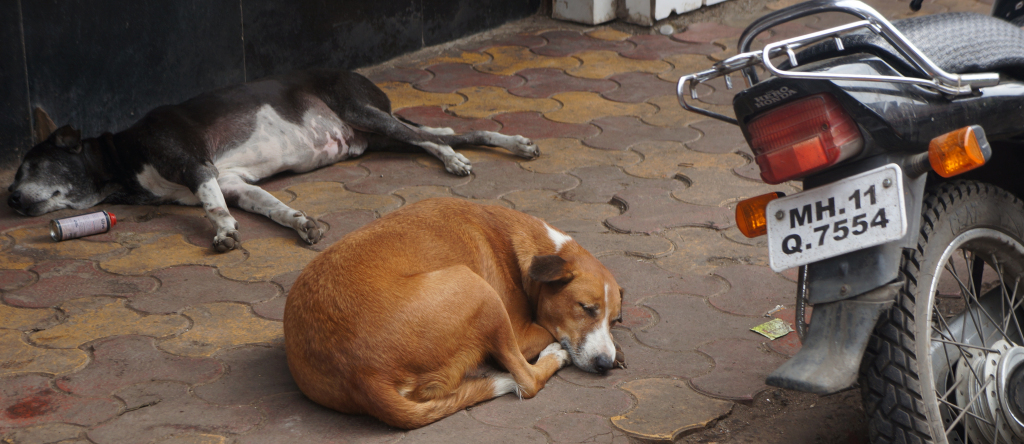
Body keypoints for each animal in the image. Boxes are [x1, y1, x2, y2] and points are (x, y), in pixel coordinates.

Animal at [6, 69, 538, 251]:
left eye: (28, 167)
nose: (10, 199)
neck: (120, 160)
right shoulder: (232, 181)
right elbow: (272, 208)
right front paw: (303, 224)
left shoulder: (198, 169)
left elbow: (212, 209)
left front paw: (223, 233)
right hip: (378, 136)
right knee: (450, 132)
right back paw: (512, 144)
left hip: (364, 112)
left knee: (434, 139)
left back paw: (455, 160)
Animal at [283, 198, 624, 429]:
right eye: (586, 308)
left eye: (615, 320)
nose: (604, 364)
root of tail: (362, 376)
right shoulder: (522, 332)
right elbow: (545, 332)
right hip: (476, 287)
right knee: (526, 381)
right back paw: (549, 358)